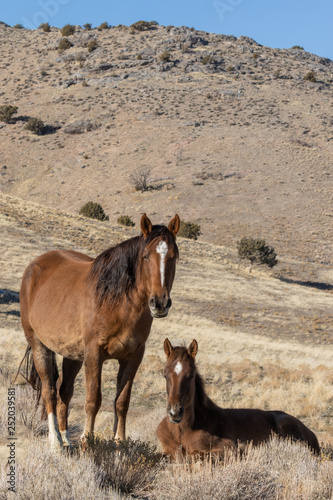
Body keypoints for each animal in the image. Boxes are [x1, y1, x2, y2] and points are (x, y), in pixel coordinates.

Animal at [18, 214, 179, 450]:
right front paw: (87, 440)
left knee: (64, 392)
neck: (118, 301)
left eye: (174, 257)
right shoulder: (94, 354)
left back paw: (66, 440)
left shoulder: (133, 357)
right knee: (49, 391)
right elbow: (93, 399)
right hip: (40, 345)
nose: (159, 303)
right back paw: (55, 442)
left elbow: (122, 401)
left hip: (73, 354)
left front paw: (120, 443)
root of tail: (34, 267)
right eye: (146, 256)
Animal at [156, 338, 320, 458]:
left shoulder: (225, 449)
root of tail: (312, 434)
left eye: (190, 376)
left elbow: (195, 456)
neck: (184, 430)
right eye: (165, 375)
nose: (175, 413)